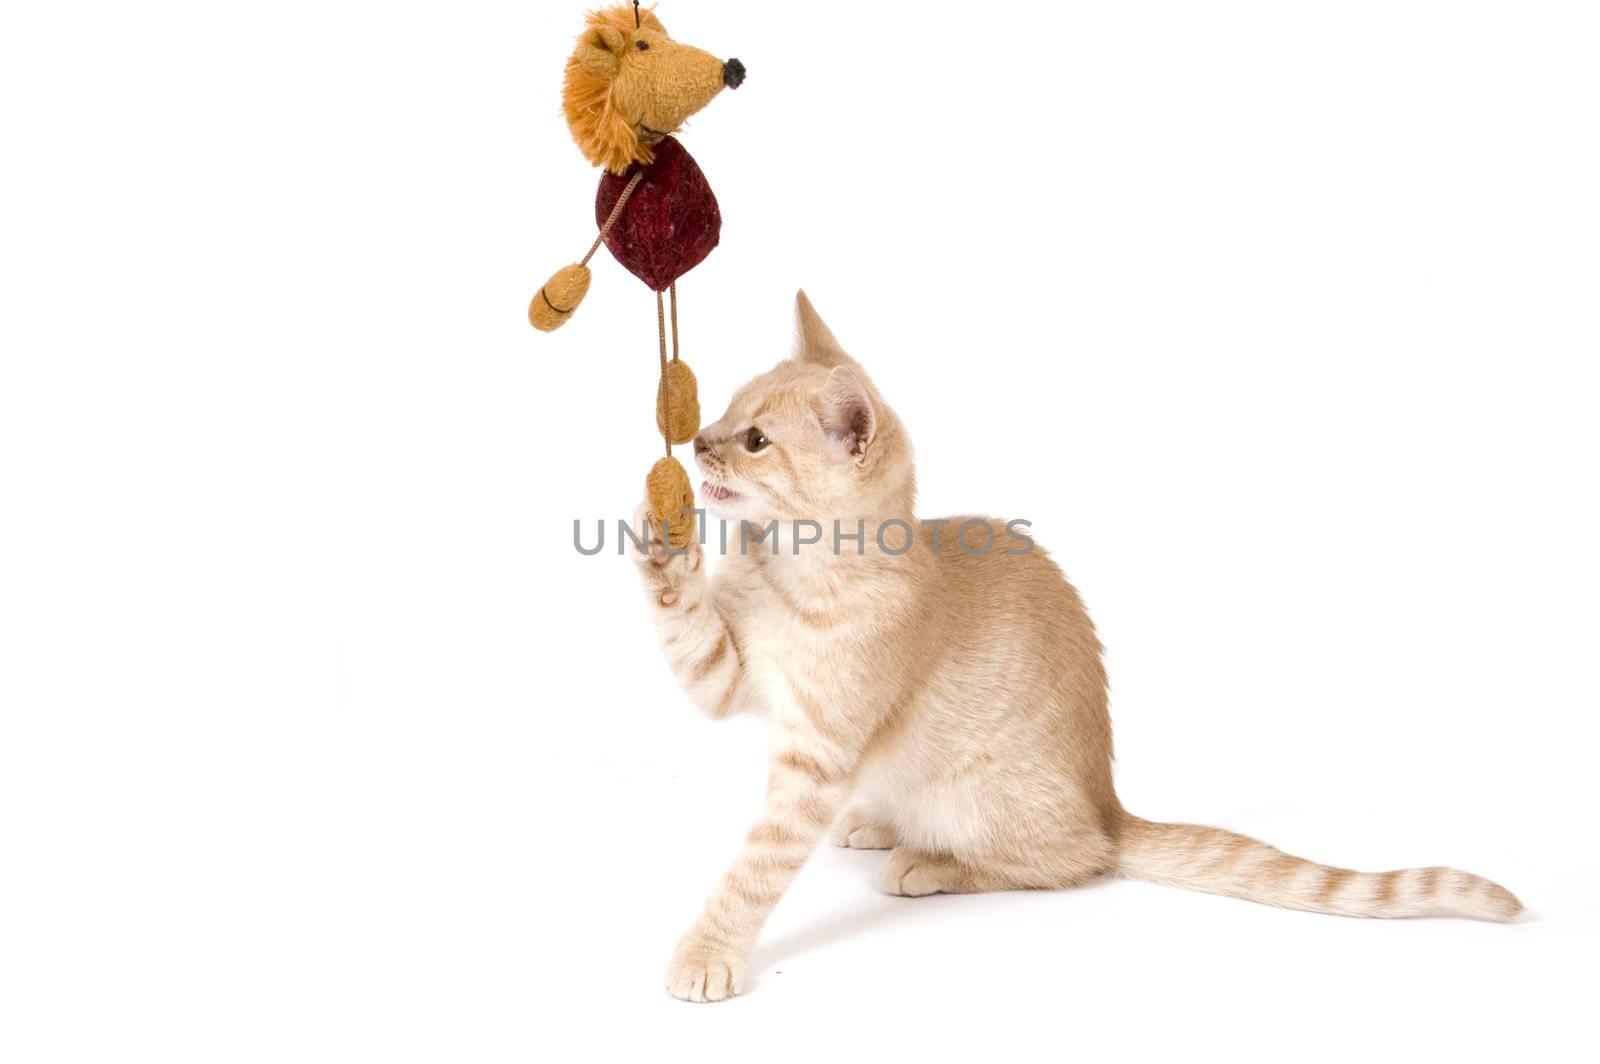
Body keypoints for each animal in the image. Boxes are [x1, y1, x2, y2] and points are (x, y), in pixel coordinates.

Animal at [630, 292, 1516, 1004]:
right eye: (723, 412)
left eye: (755, 440)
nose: (698, 445)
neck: (793, 568)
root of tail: (1107, 799)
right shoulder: (729, 678)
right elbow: (690, 630)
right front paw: (665, 544)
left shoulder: (815, 756)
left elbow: (756, 867)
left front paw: (708, 951)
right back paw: (880, 824)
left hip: (987, 796)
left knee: (1072, 860)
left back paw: (928, 862)